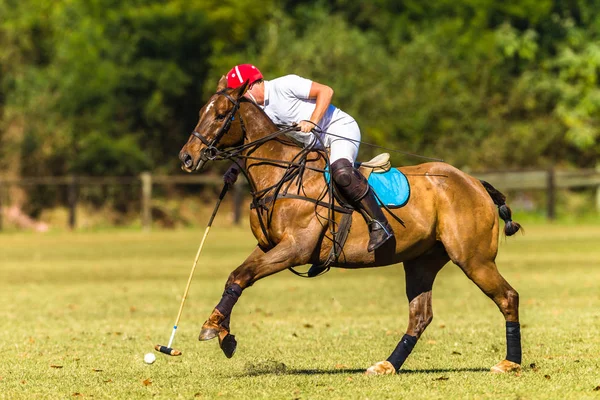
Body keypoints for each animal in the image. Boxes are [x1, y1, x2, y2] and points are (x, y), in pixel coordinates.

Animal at [177, 77, 520, 376]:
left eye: (222, 114)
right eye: (201, 111)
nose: (187, 157)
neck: (281, 173)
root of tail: (474, 182)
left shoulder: (296, 248)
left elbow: (243, 275)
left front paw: (215, 329)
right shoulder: (268, 246)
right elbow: (237, 275)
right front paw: (219, 329)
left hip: (473, 258)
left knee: (508, 296)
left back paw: (509, 363)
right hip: (422, 261)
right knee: (420, 316)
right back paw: (387, 365)